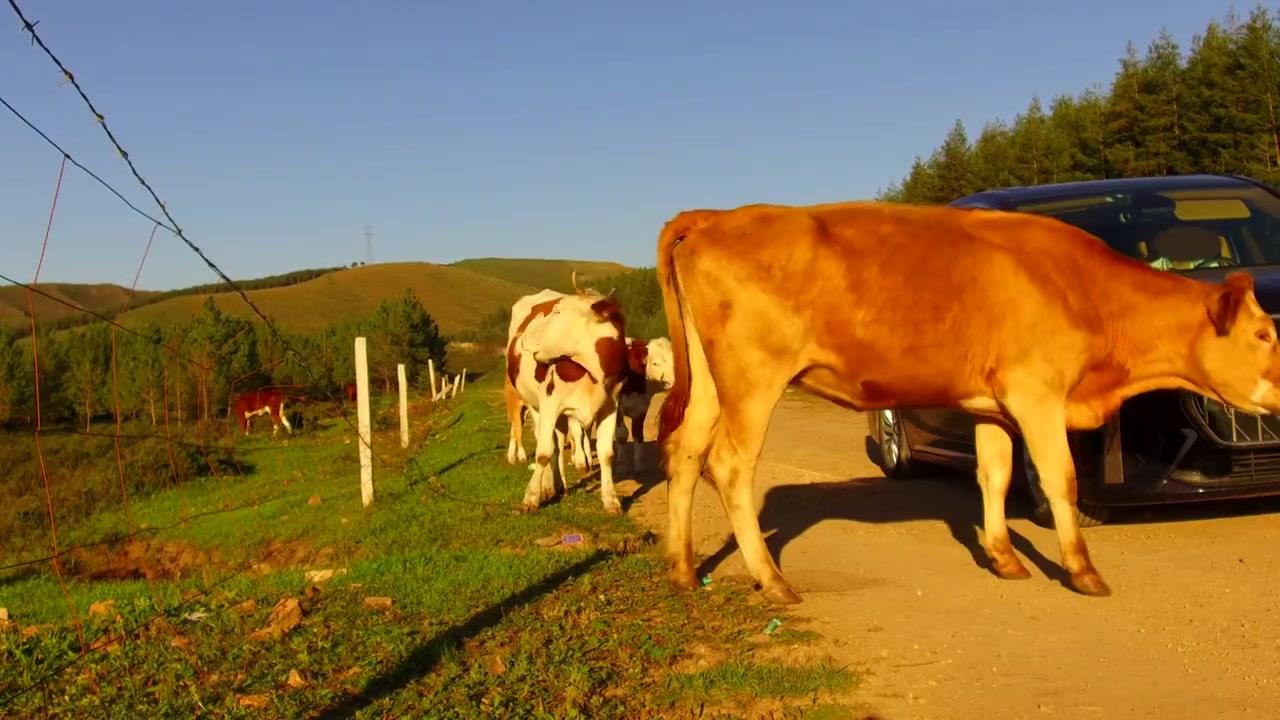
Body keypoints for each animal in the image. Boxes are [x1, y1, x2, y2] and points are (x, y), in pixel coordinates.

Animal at [504, 274, 634, 509]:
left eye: (557, 311)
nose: (525, 337)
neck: (594, 375)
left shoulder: (610, 406)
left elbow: (606, 454)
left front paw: (611, 500)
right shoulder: (549, 403)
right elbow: (543, 453)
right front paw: (531, 498)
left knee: (558, 441)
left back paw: (559, 485)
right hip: (534, 405)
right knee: (547, 443)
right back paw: (548, 486)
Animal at [655, 198, 1280, 602]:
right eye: (1262, 335)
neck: (1088, 290)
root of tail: (717, 215)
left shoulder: (991, 405)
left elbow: (995, 476)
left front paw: (1004, 558)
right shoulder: (1037, 394)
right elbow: (1061, 479)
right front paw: (1082, 571)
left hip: (710, 380)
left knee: (684, 451)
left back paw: (682, 570)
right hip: (753, 378)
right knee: (730, 465)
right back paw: (772, 580)